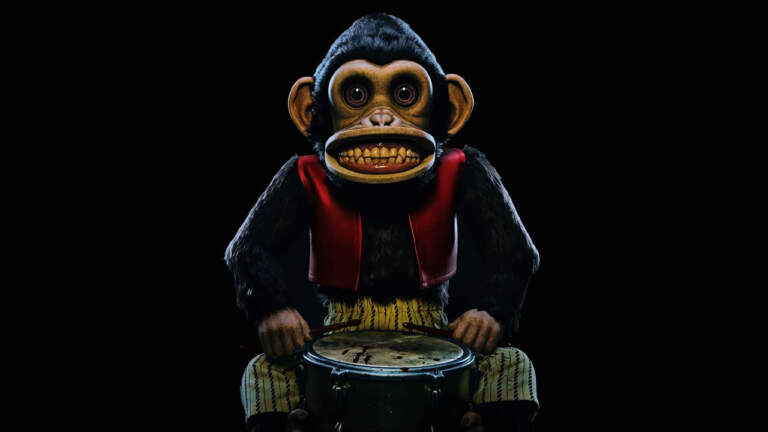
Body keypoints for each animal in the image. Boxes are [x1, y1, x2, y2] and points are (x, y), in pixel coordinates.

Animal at [225, 14, 539, 432]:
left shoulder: (474, 168)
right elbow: (251, 247)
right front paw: (281, 324)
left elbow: (512, 250)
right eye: (356, 94)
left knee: (512, 366)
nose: (381, 119)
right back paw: (292, 416)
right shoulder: (292, 175)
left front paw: (481, 324)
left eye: (405, 93)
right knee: (264, 373)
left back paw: (476, 417)